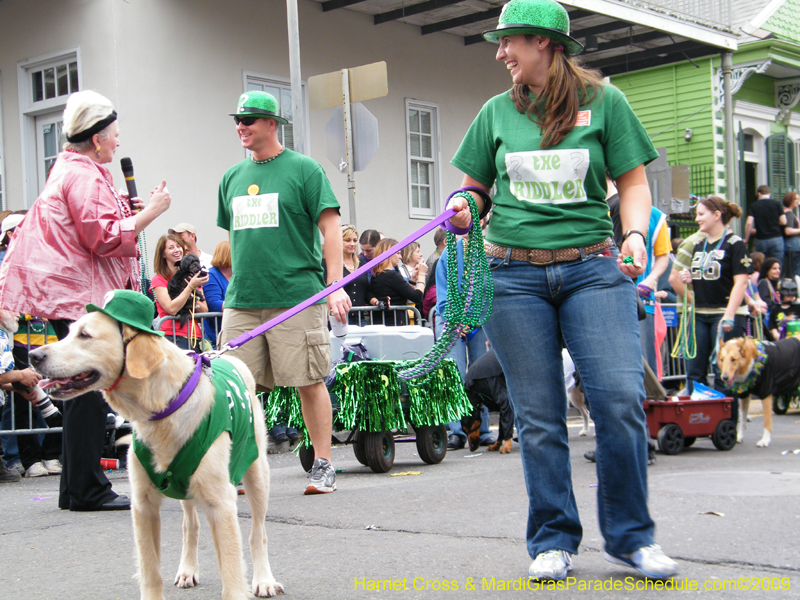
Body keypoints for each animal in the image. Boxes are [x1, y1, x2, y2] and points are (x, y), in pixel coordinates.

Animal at [28, 292, 284, 600]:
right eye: (67, 332)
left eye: (85, 335)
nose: (33, 356)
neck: (165, 407)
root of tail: (231, 359)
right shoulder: (143, 505)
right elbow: (150, 569)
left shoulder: (221, 502)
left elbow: (233, 575)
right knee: (190, 525)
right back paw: (188, 569)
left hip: (257, 473)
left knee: (258, 532)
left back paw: (264, 579)